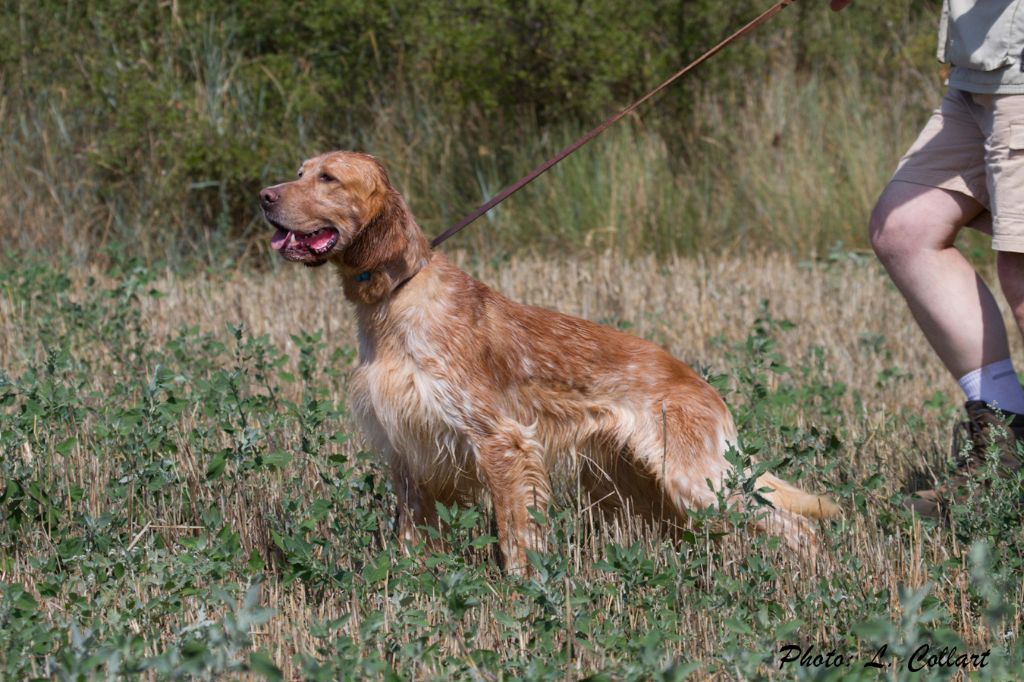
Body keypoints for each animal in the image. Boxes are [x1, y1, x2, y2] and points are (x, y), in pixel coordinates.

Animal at [258, 150, 839, 569]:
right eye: (300, 172)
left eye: (329, 178)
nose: (262, 196)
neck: (394, 300)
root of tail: (703, 387)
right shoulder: (408, 454)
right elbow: (409, 540)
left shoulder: (502, 443)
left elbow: (517, 537)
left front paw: (522, 592)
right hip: (644, 489)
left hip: (695, 482)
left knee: (799, 528)